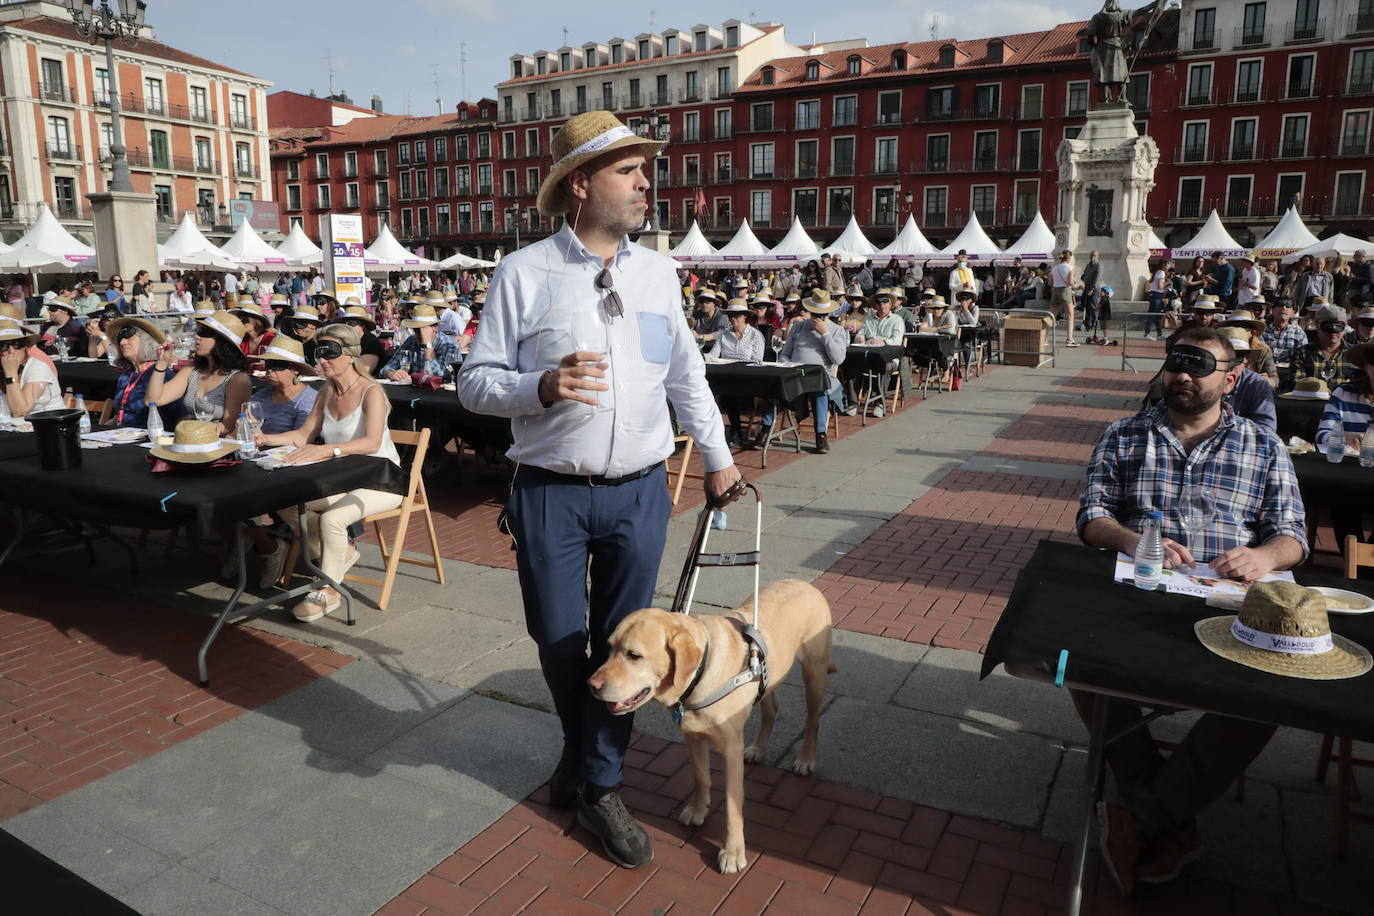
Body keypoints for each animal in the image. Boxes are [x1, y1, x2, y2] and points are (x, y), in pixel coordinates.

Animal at [585, 579, 829, 873]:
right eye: (609, 648)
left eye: (634, 655)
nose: (591, 685)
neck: (700, 674)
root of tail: (803, 583)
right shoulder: (693, 736)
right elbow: (701, 777)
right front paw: (698, 810)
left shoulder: (731, 748)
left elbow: (733, 804)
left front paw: (733, 852)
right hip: (768, 677)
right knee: (771, 710)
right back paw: (758, 749)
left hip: (815, 673)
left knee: (813, 720)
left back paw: (806, 759)